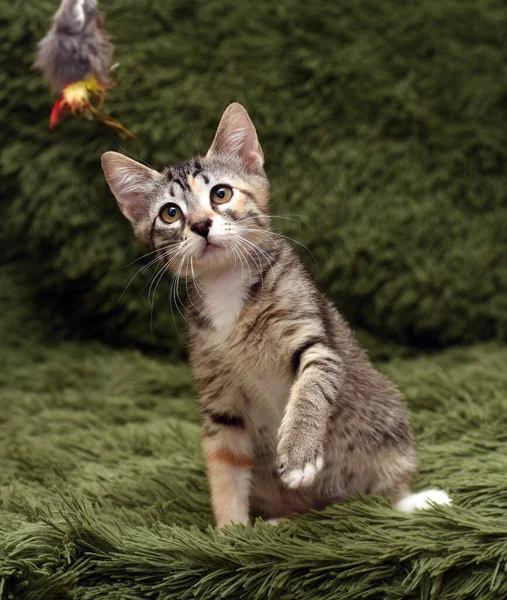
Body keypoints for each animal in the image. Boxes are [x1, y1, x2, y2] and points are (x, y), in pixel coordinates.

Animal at [101, 105, 450, 528]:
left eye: (220, 193)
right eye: (170, 213)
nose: (200, 224)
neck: (227, 286)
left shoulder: (316, 342)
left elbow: (311, 388)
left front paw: (299, 453)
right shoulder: (221, 402)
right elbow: (225, 467)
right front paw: (229, 532)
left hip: (389, 424)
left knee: (386, 492)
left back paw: (416, 500)